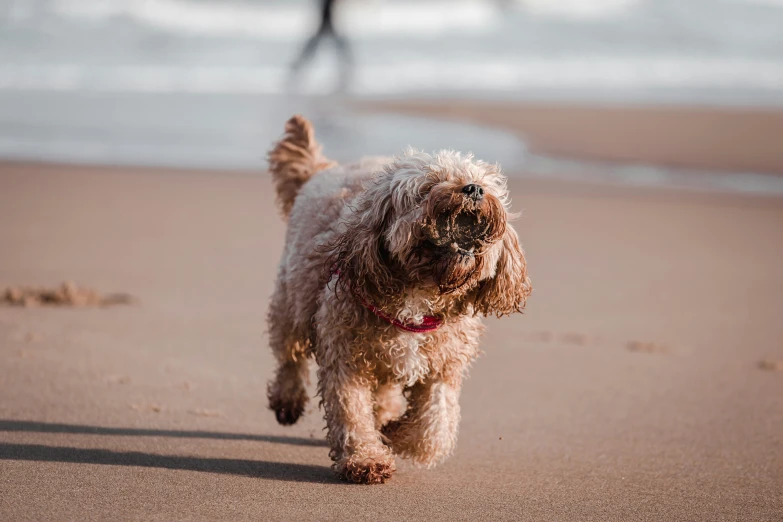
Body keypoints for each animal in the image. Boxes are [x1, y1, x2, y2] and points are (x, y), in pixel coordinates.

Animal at [264, 115, 532, 484]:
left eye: (479, 181)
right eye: (429, 185)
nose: (474, 189)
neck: (421, 294)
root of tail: (324, 168)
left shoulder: (443, 367)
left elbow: (434, 430)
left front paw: (395, 433)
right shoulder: (345, 357)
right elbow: (351, 412)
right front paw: (366, 458)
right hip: (293, 297)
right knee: (289, 353)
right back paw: (287, 399)